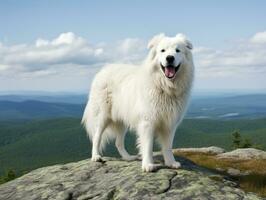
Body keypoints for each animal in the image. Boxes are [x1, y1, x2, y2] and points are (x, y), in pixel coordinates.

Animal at [82, 33, 194, 172]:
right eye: (162, 51)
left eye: (177, 50)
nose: (169, 58)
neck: (165, 87)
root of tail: (102, 71)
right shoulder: (148, 122)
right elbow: (148, 146)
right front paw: (148, 165)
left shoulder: (170, 124)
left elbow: (168, 146)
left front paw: (170, 162)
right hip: (103, 116)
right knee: (97, 137)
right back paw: (96, 156)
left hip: (121, 120)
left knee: (118, 142)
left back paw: (128, 157)